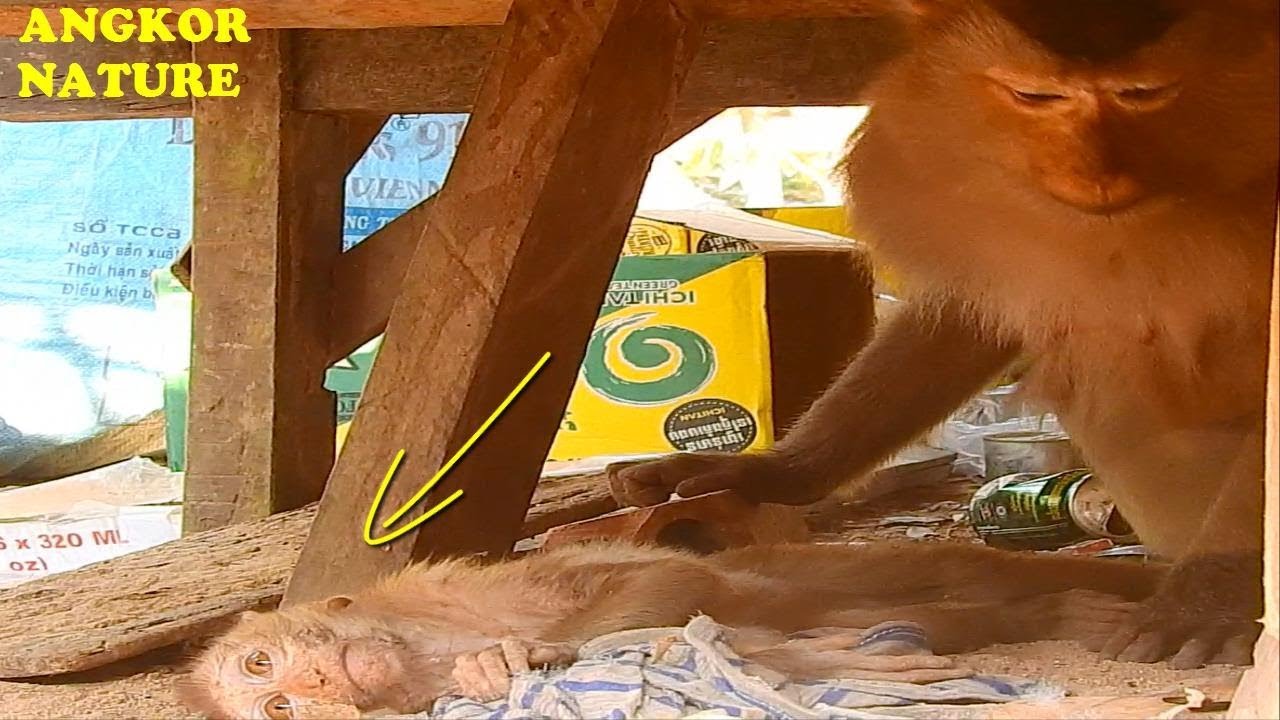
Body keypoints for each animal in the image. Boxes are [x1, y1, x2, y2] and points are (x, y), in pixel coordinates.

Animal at [609, 0, 1279, 670]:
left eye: (1142, 93)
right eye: (1035, 95)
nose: (1095, 175)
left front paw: (1213, 590)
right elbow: (967, 311)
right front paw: (776, 470)